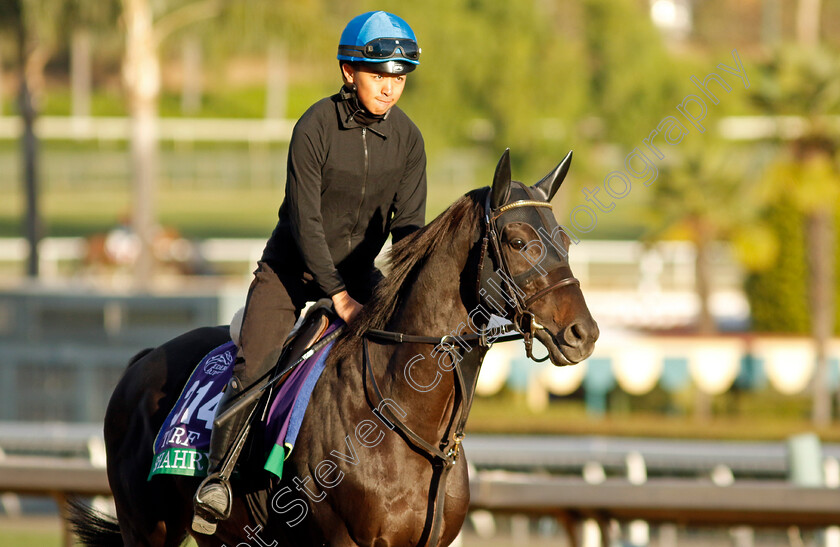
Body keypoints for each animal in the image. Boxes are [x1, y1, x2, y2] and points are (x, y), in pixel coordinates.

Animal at [70, 150, 596, 547]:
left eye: (565, 240)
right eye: (518, 240)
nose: (583, 333)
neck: (399, 413)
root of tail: (141, 362)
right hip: (147, 529)